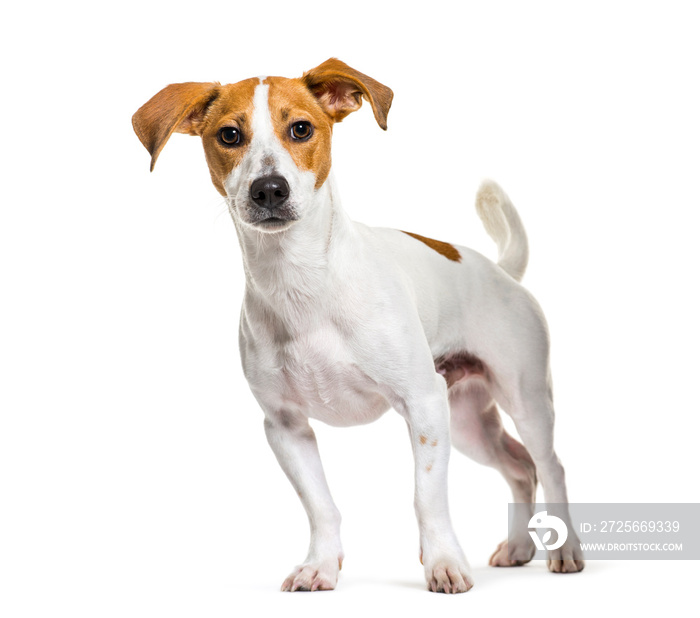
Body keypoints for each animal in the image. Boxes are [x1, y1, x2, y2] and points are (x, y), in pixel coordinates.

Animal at [133, 59, 584, 592]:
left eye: (301, 129)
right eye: (229, 135)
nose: (269, 189)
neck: (301, 282)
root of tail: (501, 271)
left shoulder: (423, 405)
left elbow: (426, 498)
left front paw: (443, 564)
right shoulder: (286, 428)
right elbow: (320, 506)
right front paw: (320, 566)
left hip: (521, 400)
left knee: (550, 465)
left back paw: (567, 550)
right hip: (468, 420)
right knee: (518, 468)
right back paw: (518, 547)